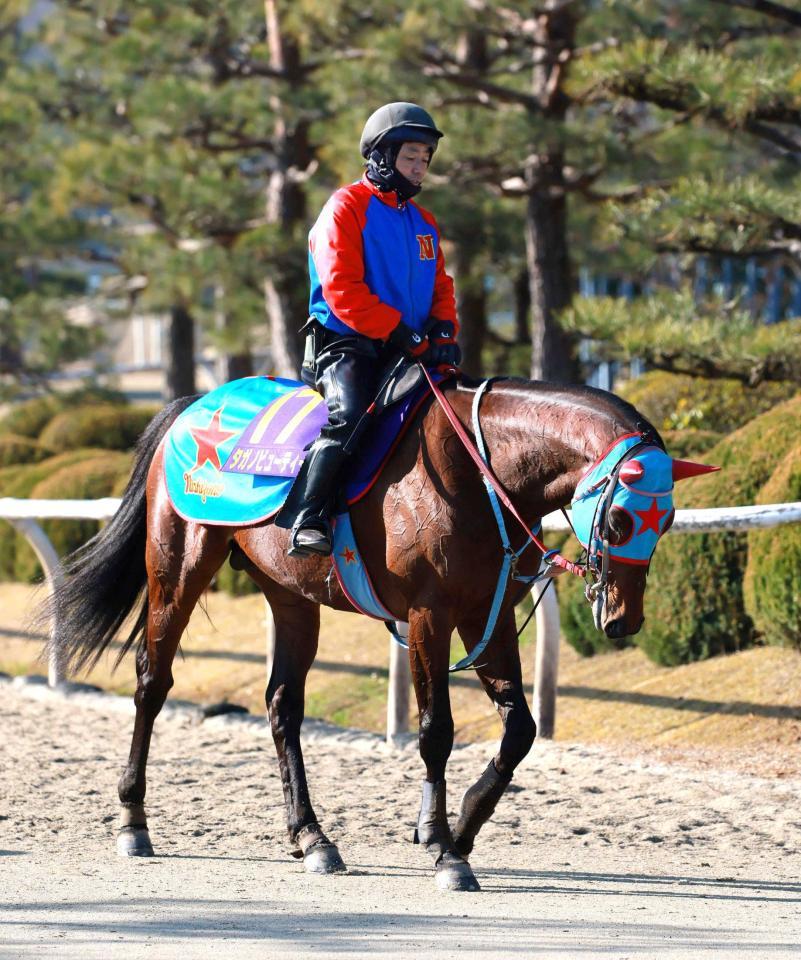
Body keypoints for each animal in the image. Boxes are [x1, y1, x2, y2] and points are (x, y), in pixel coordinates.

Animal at [47, 374, 708, 892]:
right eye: (620, 519)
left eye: (669, 518)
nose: (623, 619)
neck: (478, 472)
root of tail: (193, 406)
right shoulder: (429, 617)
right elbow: (436, 731)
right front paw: (444, 848)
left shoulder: (486, 615)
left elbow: (520, 730)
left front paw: (461, 826)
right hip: (178, 568)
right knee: (152, 683)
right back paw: (133, 821)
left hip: (291, 597)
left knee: (282, 706)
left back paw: (311, 836)